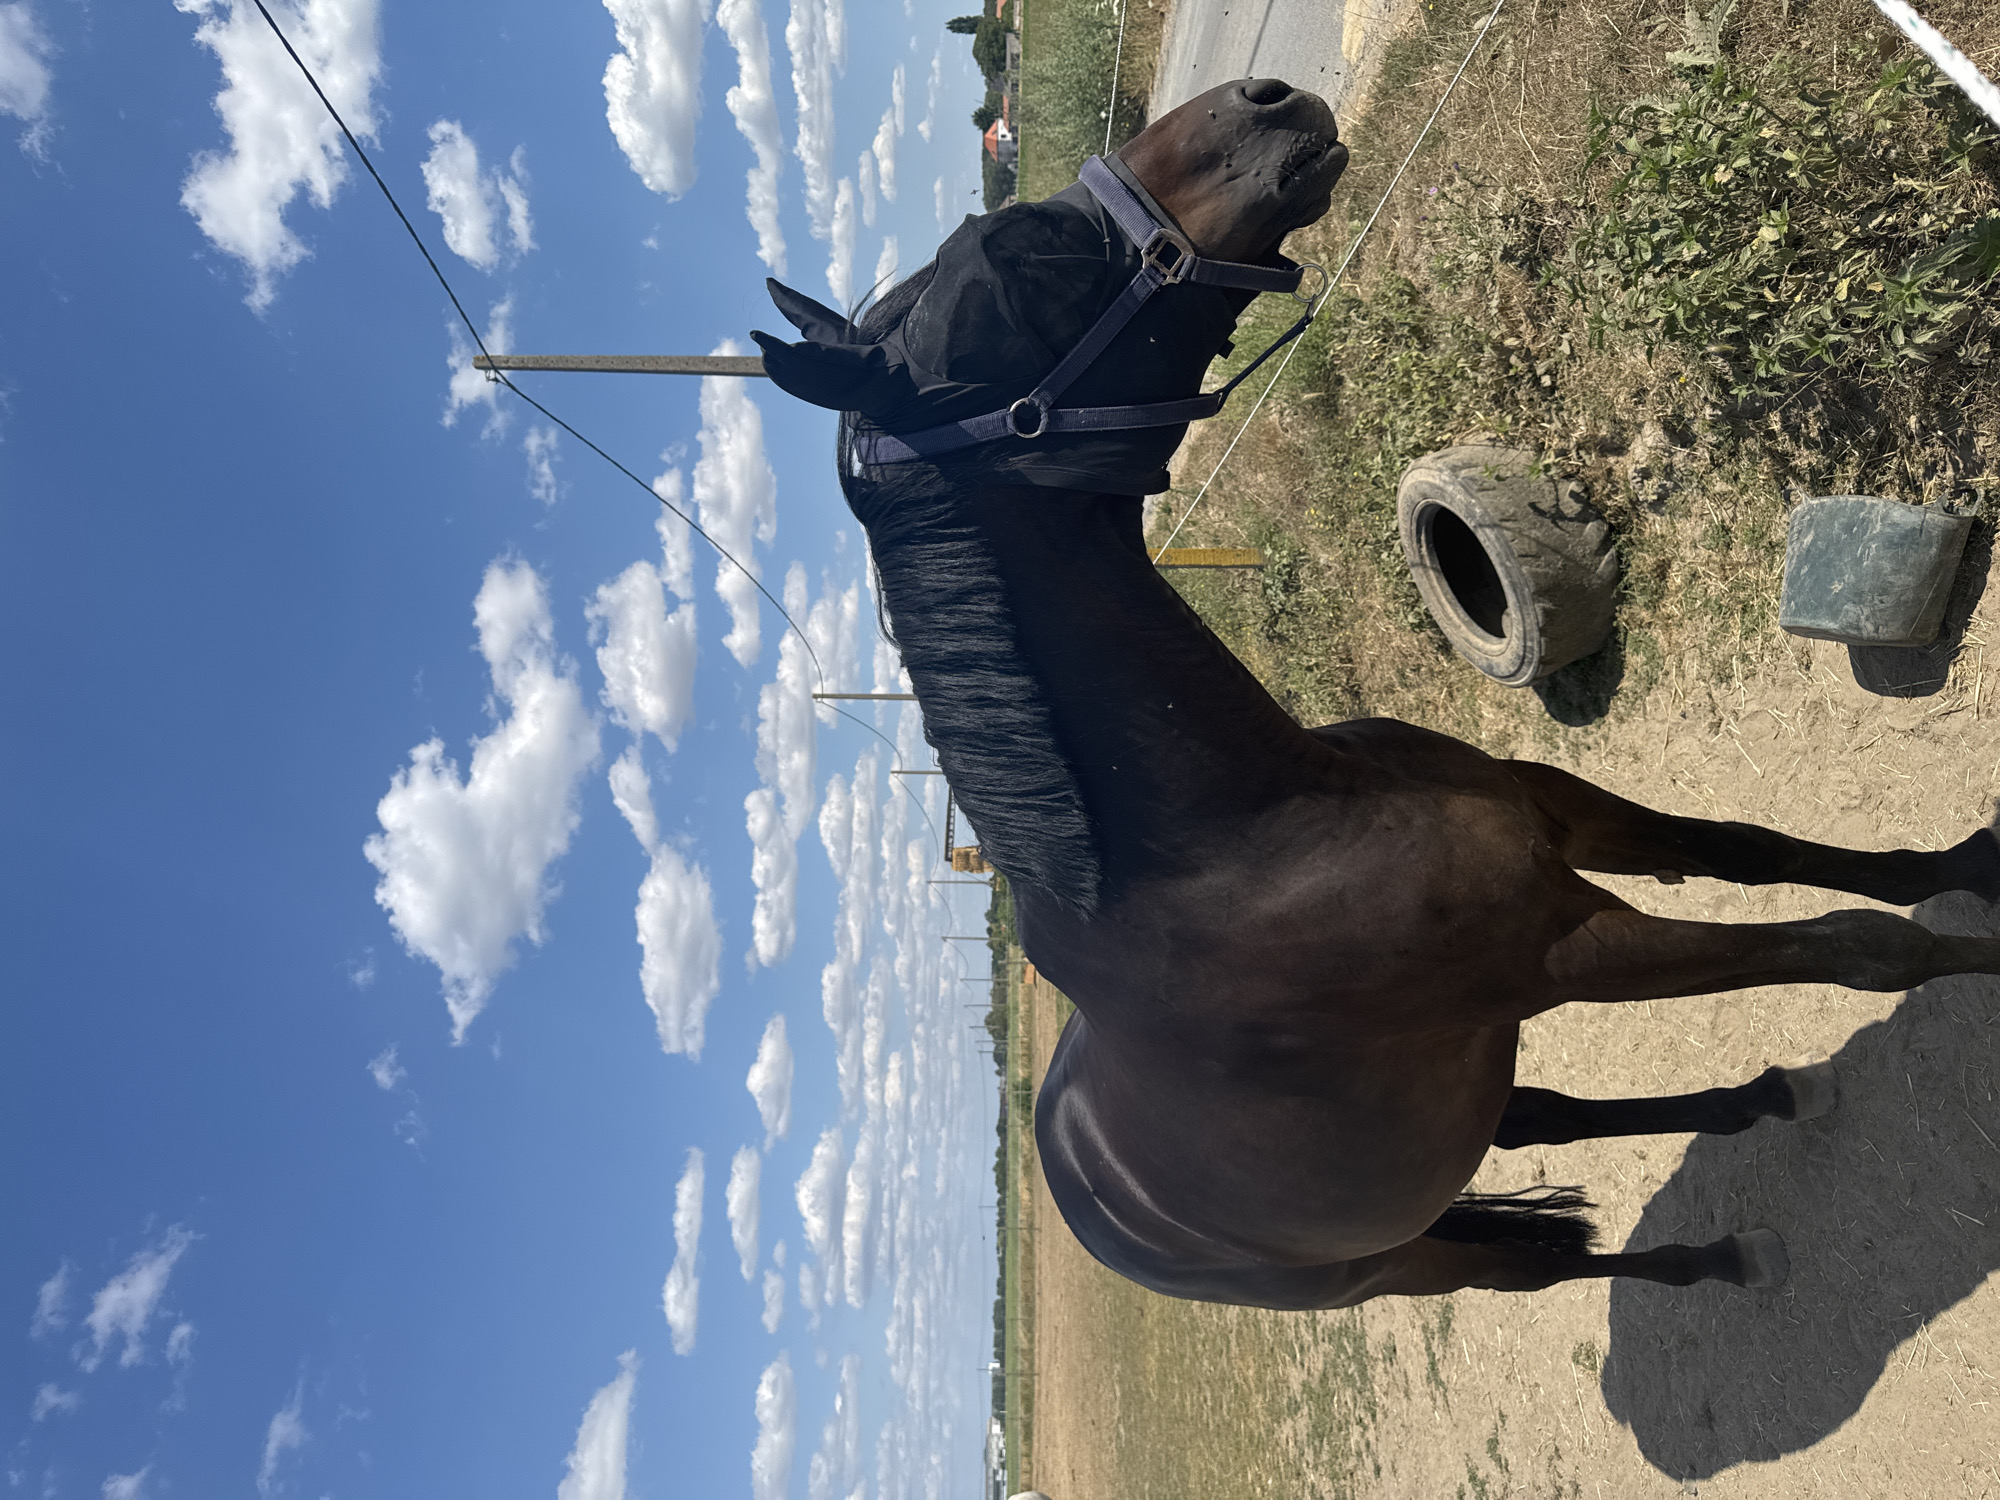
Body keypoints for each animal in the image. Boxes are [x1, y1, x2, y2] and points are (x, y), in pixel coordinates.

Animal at [750, 77, 2000, 1309]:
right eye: (1031, 254)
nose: (1261, 100)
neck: (1261, 835)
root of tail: (1092, 1201)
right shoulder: (1564, 952)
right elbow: (1852, 946)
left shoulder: (1551, 810)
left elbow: (1751, 848)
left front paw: (1961, 866)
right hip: (1401, 1256)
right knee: (1532, 1262)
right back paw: (1706, 1258)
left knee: (1540, 1122)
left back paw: (1753, 1101)